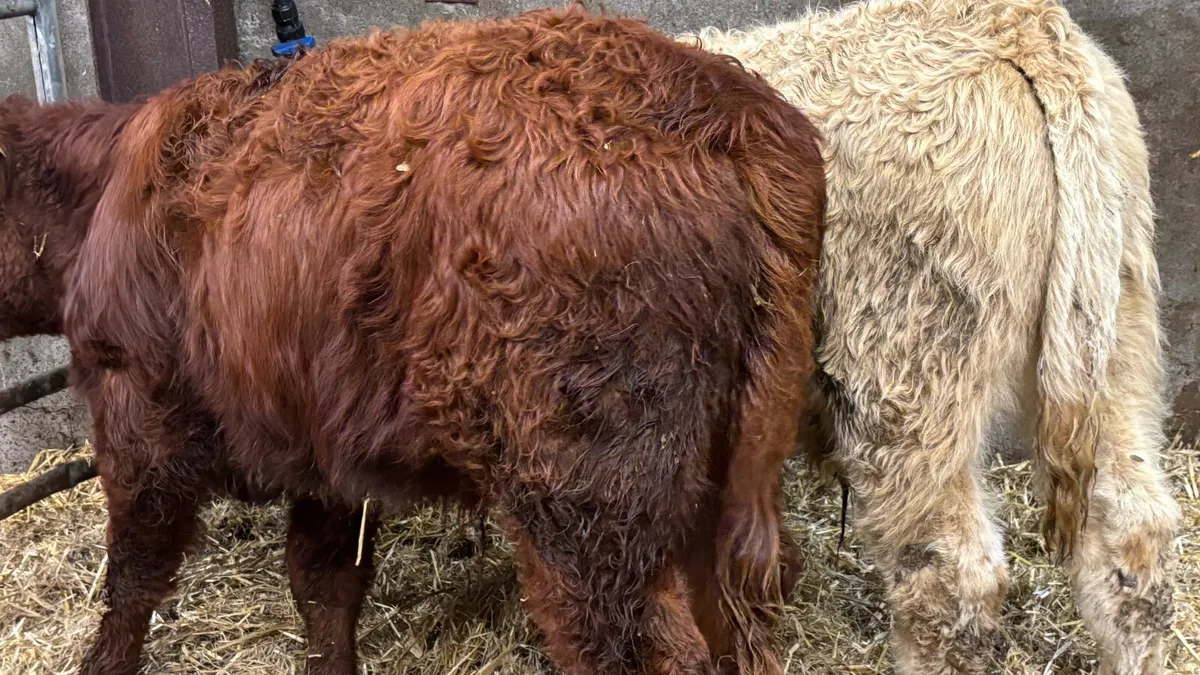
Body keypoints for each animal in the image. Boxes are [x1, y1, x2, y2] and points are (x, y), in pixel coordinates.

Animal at [60, 7, 825, 675]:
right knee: (744, 619)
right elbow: (323, 581)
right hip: (723, 480)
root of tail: (726, 108)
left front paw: (102, 661)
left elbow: (134, 570)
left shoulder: (137, 399)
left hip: (589, 503)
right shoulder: (324, 442)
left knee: (636, 643)